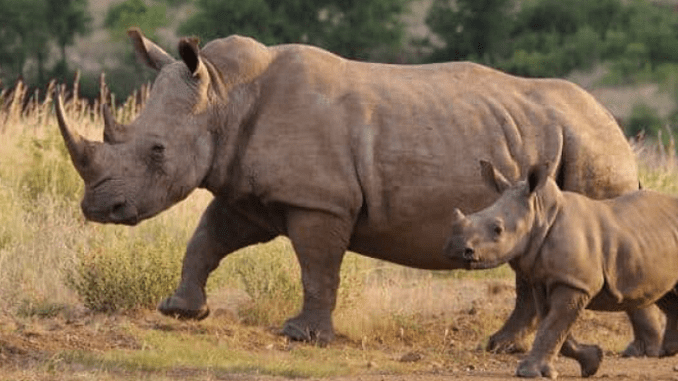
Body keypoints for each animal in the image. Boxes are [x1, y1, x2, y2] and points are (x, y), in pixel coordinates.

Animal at [57, 28, 664, 352]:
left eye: (157, 150)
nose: (98, 207)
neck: (224, 96)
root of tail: (613, 123)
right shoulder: (246, 192)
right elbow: (207, 239)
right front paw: (181, 311)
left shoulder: (319, 201)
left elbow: (317, 266)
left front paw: (302, 336)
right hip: (556, 145)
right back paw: (518, 346)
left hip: (590, 148)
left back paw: (633, 349)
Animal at [444, 160, 678, 378]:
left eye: (498, 229)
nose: (456, 249)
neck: (540, 215)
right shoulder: (543, 280)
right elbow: (553, 326)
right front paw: (593, 361)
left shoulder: (574, 282)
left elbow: (553, 326)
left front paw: (529, 372)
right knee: (665, 293)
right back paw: (668, 351)